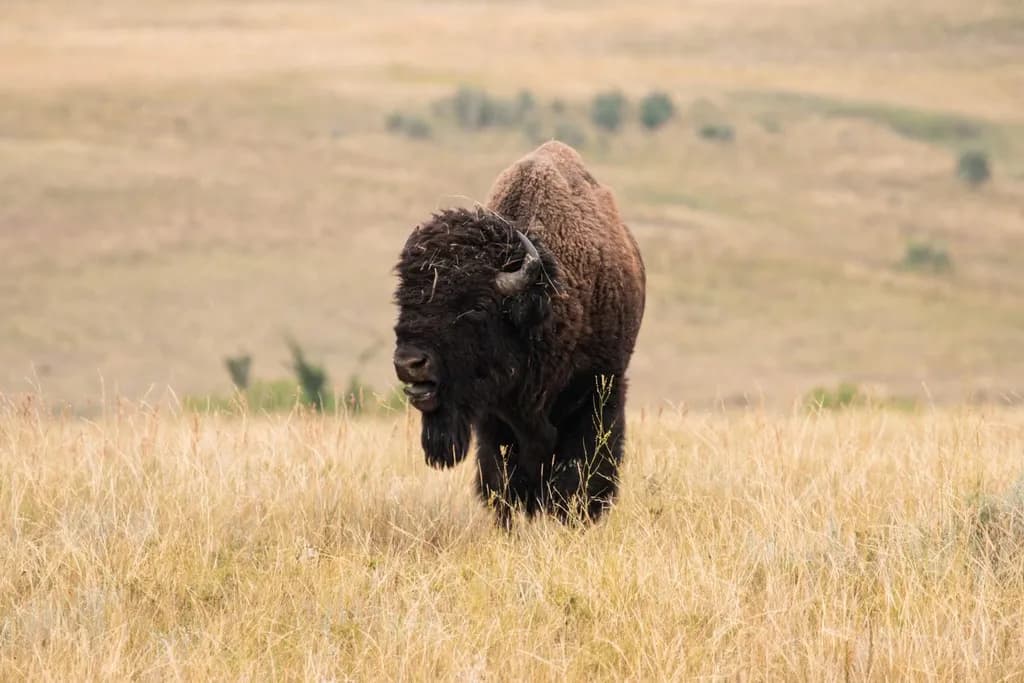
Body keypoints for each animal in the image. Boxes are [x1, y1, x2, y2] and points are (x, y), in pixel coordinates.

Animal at [393, 141, 645, 526]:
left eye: (477, 306)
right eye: (403, 298)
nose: (409, 362)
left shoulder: (599, 390)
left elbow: (579, 470)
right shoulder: (494, 417)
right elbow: (502, 477)